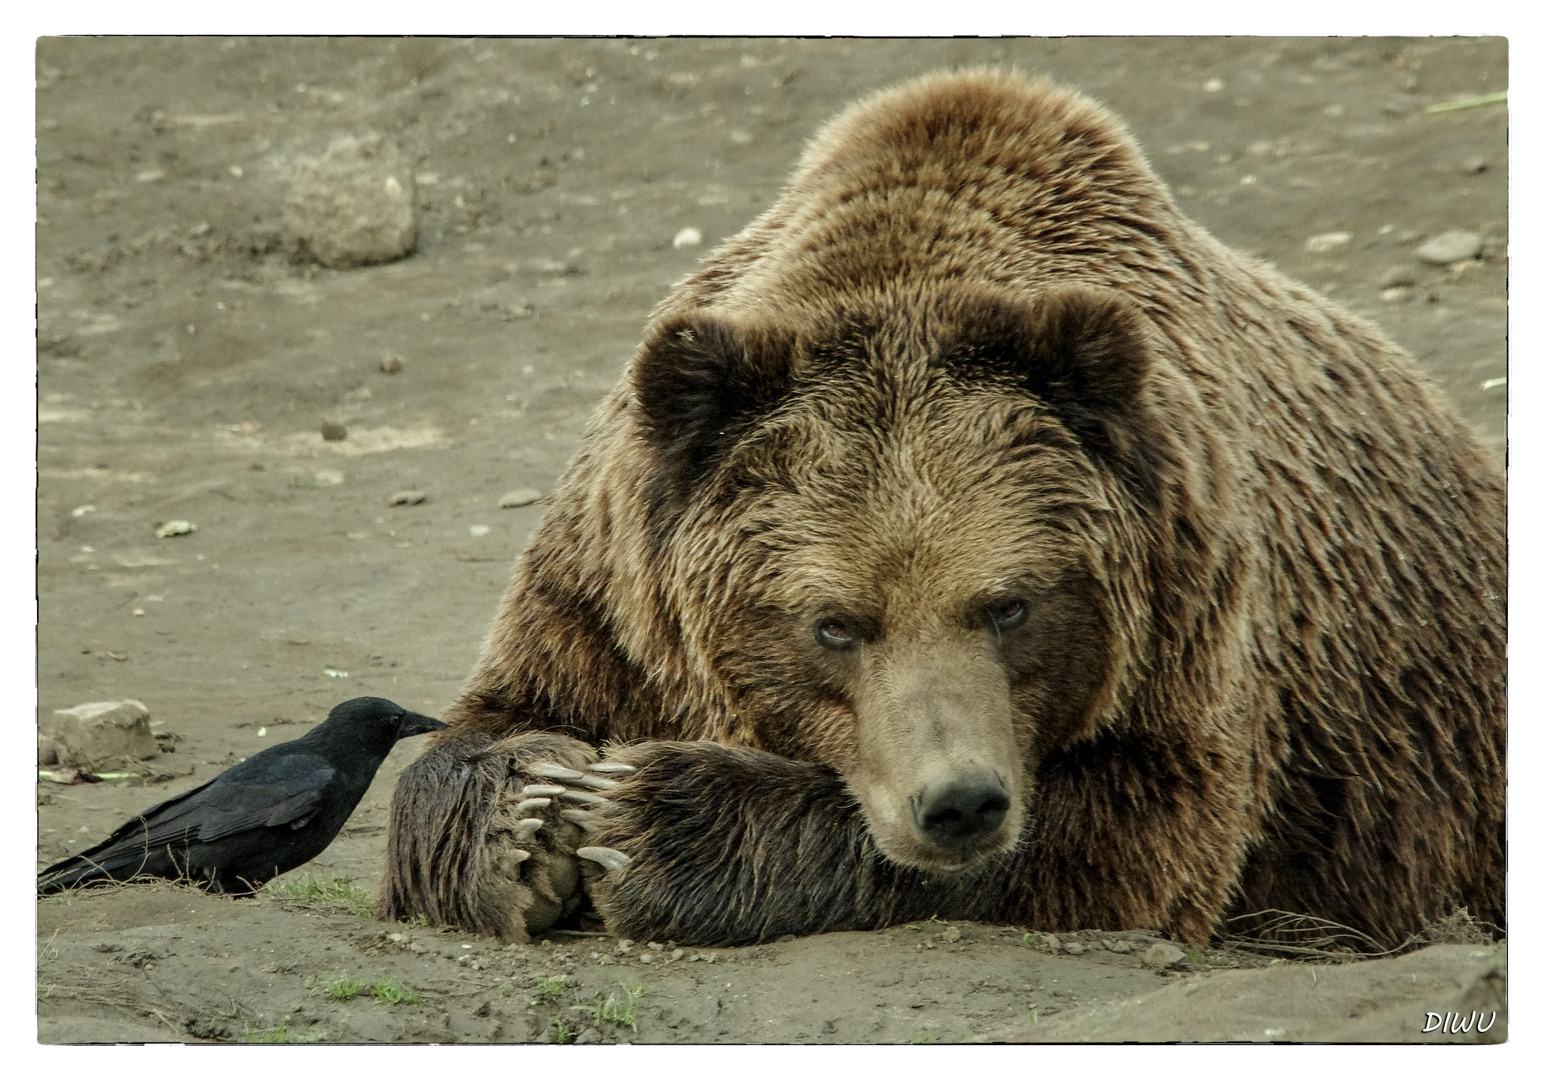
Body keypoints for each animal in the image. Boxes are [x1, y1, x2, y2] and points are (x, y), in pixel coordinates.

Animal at [379, 67, 1500, 951]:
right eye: (833, 624)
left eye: (1010, 603)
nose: (958, 802)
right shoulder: (610, 594)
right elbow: (488, 725)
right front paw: (528, 820)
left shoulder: (1189, 620)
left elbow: (1130, 828)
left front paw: (645, 819)